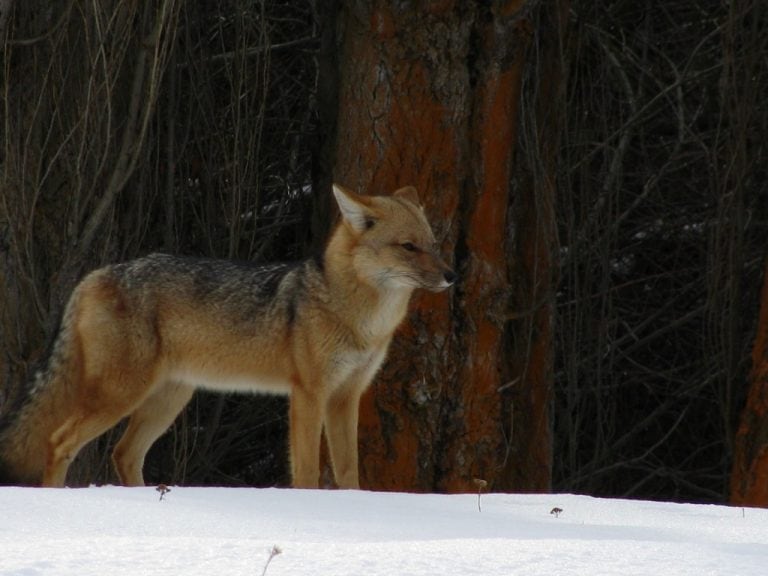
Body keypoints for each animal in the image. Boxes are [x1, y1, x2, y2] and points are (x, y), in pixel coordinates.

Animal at [0, 186, 456, 490]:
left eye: (433, 244)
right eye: (408, 247)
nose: (452, 276)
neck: (360, 319)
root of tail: (95, 275)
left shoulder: (346, 397)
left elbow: (348, 472)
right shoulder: (309, 395)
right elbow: (308, 470)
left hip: (166, 401)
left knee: (123, 454)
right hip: (121, 396)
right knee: (60, 442)